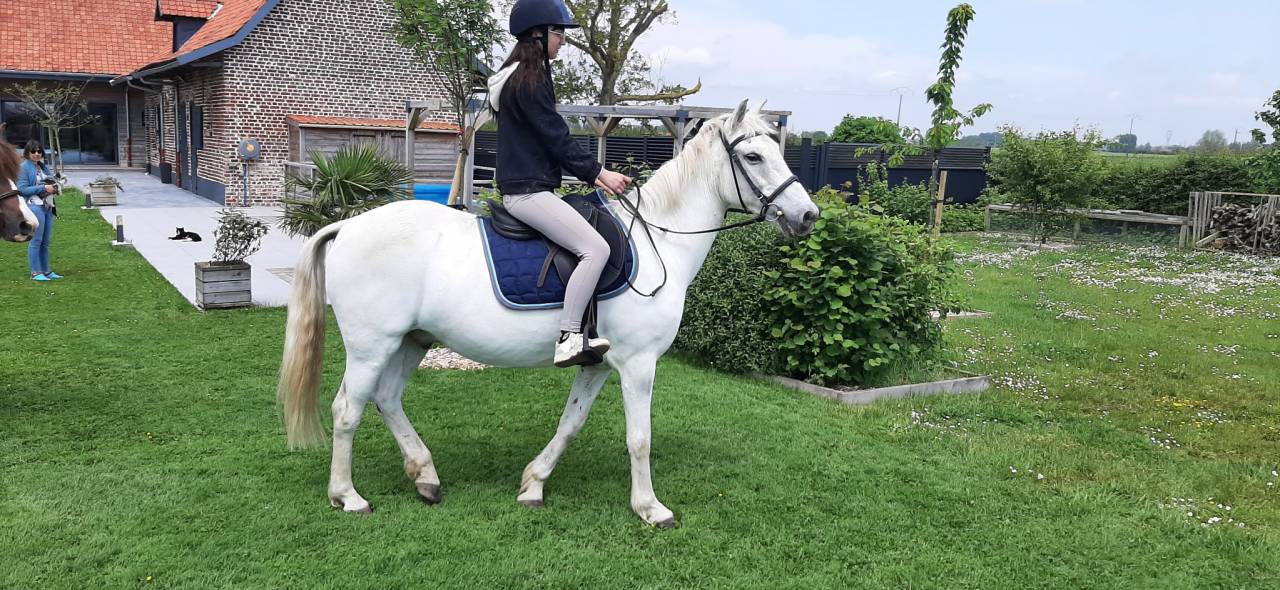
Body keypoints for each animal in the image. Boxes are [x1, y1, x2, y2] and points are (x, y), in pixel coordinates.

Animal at [277, 101, 819, 527]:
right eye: (753, 156)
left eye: (778, 151)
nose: (808, 215)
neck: (658, 239)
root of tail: (348, 227)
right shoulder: (639, 365)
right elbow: (639, 438)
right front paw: (650, 508)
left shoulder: (598, 365)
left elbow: (570, 424)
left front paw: (533, 485)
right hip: (372, 346)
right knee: (347, 410)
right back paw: (348, 497)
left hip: (412, 340)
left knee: (387, 399)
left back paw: (425, 476)